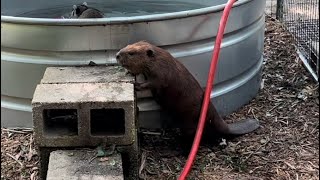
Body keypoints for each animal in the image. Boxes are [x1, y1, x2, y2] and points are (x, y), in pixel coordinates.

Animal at [115, 40, 260, 143]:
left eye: (131, 53)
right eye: (127, 46)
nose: (117, 55)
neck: (158, 58)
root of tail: (226, 126)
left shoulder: (162, 72)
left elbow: (154, 83)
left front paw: (136, 84)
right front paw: (130, 73)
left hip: (190, 122)